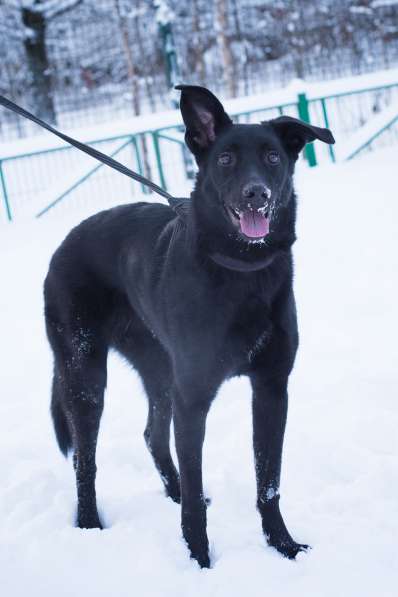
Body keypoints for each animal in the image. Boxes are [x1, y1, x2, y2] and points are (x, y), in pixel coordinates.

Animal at [45, 85, 334, 568]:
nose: (256, 194)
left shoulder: (271, 389)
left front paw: (283, 545)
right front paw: (199, 560)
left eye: (273, 157)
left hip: (161, 373)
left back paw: (173, 491)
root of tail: (63, 244)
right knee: (85, 460)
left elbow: (268, 483)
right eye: (226, 158)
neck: (242, 270)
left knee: (152, 435)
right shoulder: (194, 397)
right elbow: (199, 496)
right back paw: (89, 524)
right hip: (85, 377)